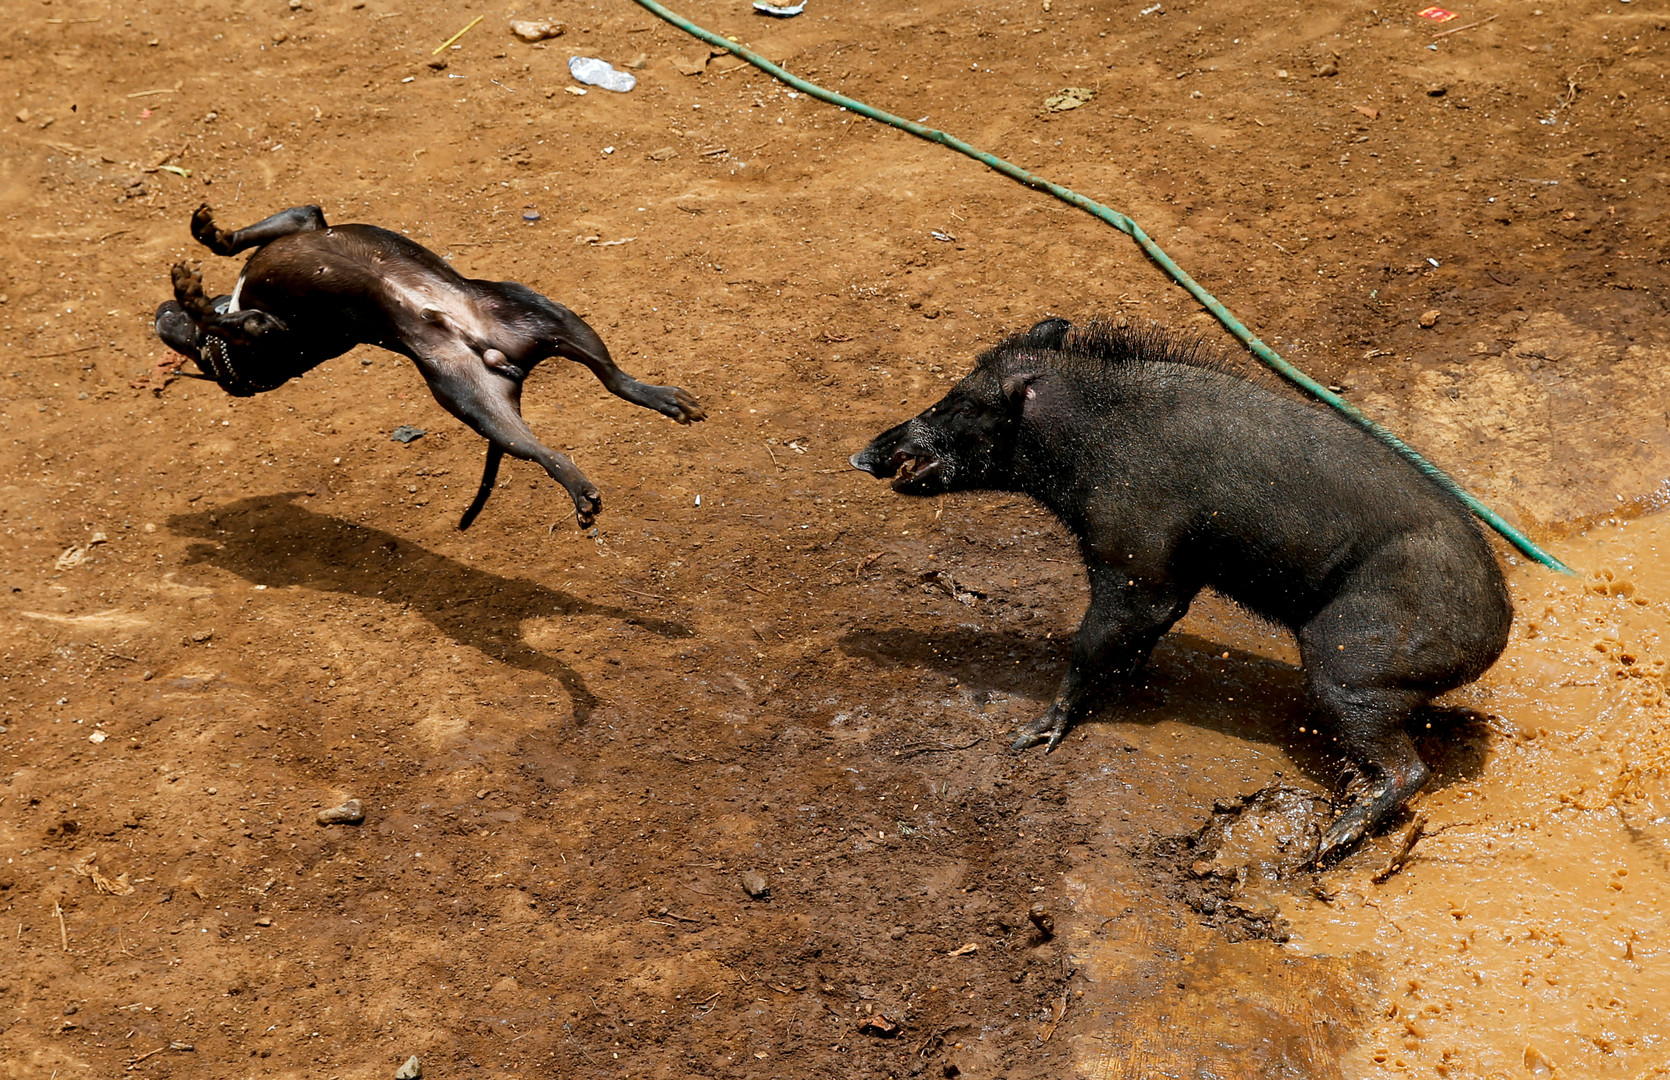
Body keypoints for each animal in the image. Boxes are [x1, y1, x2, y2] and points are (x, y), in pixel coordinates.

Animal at [155, 205, 704, 530]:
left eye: (199, 357)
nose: (159, 313)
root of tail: (500, 353)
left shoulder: (300, 231)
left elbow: (240, 249)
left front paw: (204, 252)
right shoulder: (273, 328)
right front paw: (195, 289)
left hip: (538, 317)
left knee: (608, 381)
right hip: (483, 392)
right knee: (566, 429)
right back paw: (619, 446)